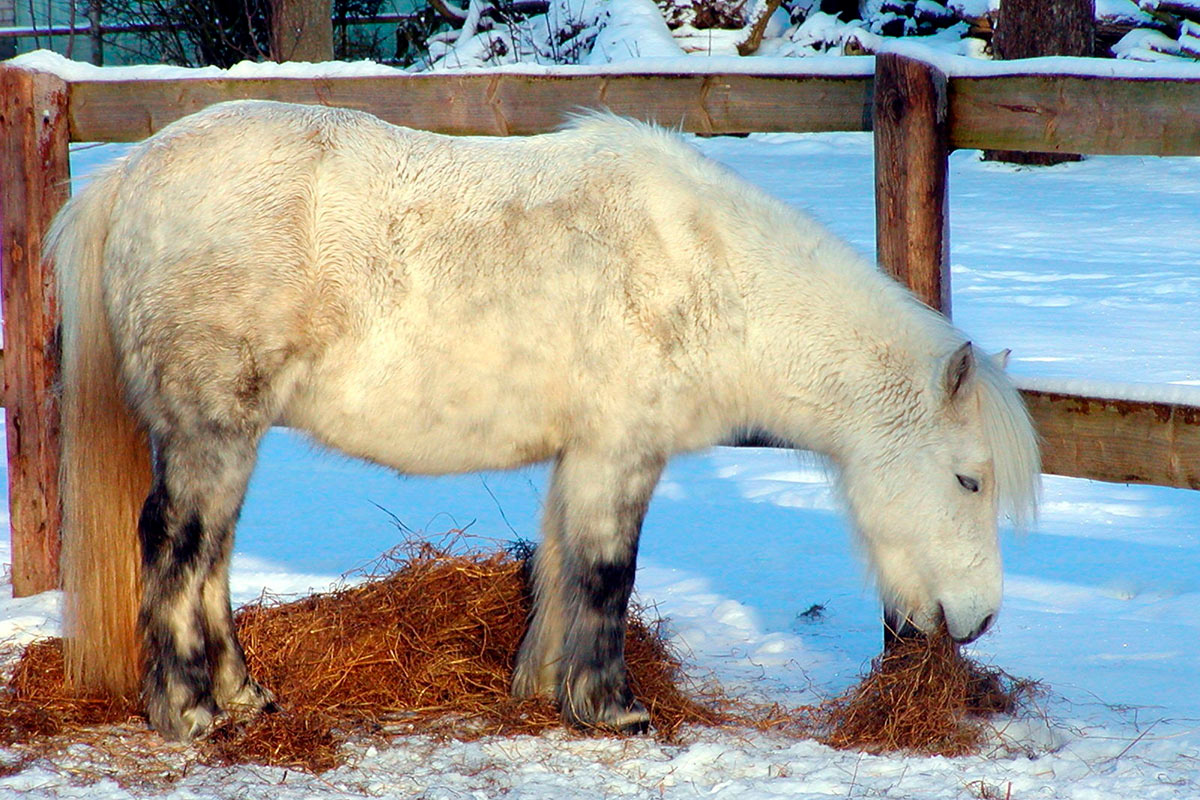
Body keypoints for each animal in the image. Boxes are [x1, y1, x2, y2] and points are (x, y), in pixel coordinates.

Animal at [49, 101, 1041, 743]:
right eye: (968, 478)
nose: (980, 617)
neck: (706, 276)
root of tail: (133, 172)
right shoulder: (622, 453)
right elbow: (606, 574)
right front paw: (616, 708)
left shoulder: (587, 456)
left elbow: (564, 567)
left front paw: (547, 691)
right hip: (209, 431)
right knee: (176, 548)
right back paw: (191, 714)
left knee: (210, 557)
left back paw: (245, 697)